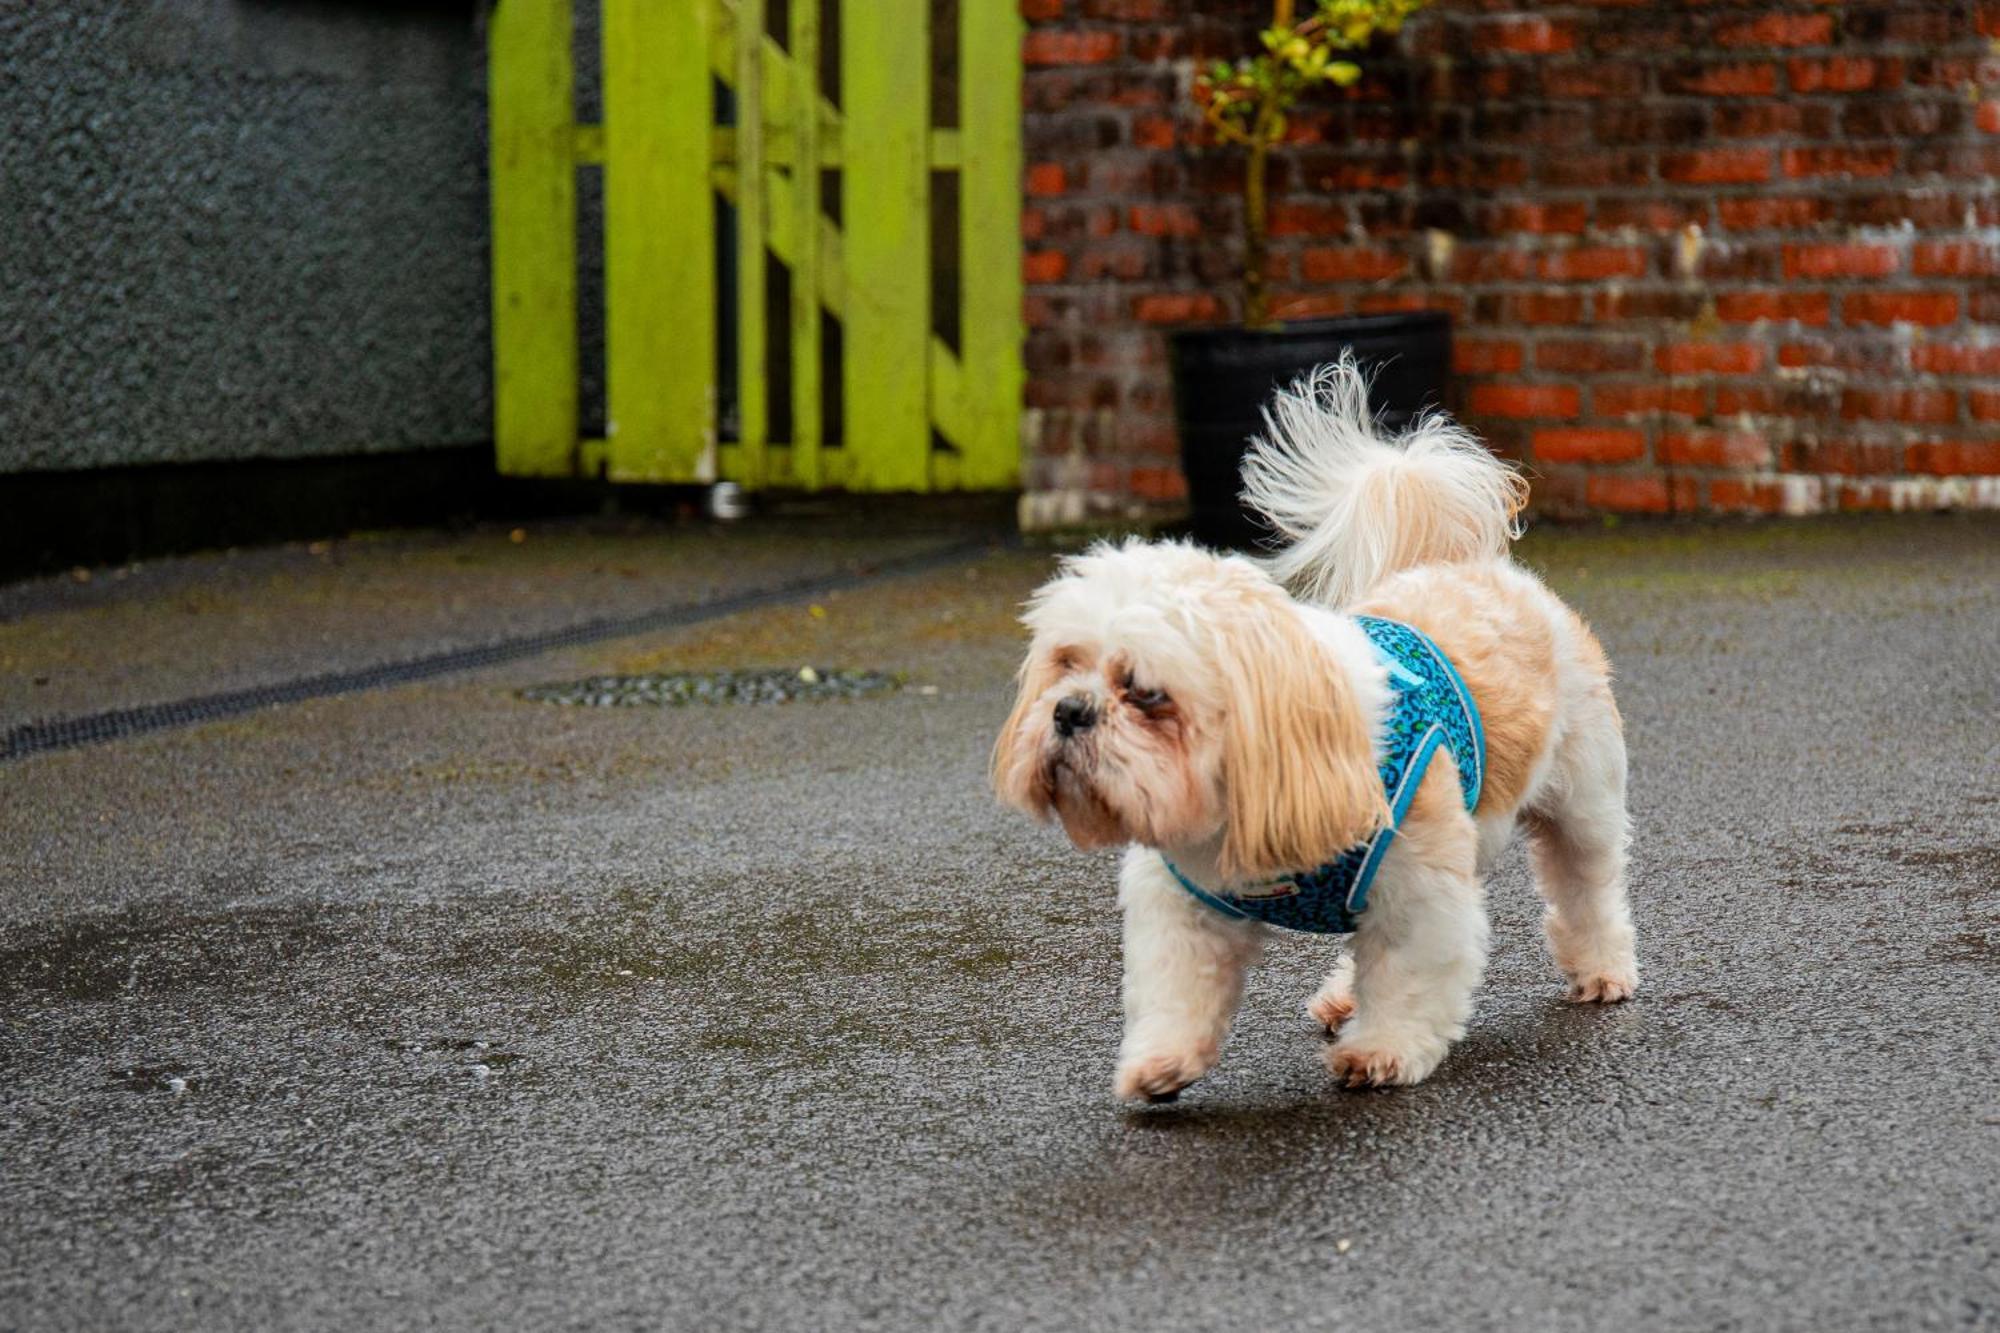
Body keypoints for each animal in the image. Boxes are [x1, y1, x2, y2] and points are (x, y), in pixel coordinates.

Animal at [992, 358, 1632, 1096]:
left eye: (1147, 694)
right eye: (1067, 663)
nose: (1069, 710)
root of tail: (1472, 566)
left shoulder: (1423, 896)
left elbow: (1408, 979)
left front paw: (1381, 1049)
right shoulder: (1181, 903)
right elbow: (1176, 987)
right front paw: (1161, 1058)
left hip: (1581, 805)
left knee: (1587, 886)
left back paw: (1603, 967)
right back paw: (1341, 998)